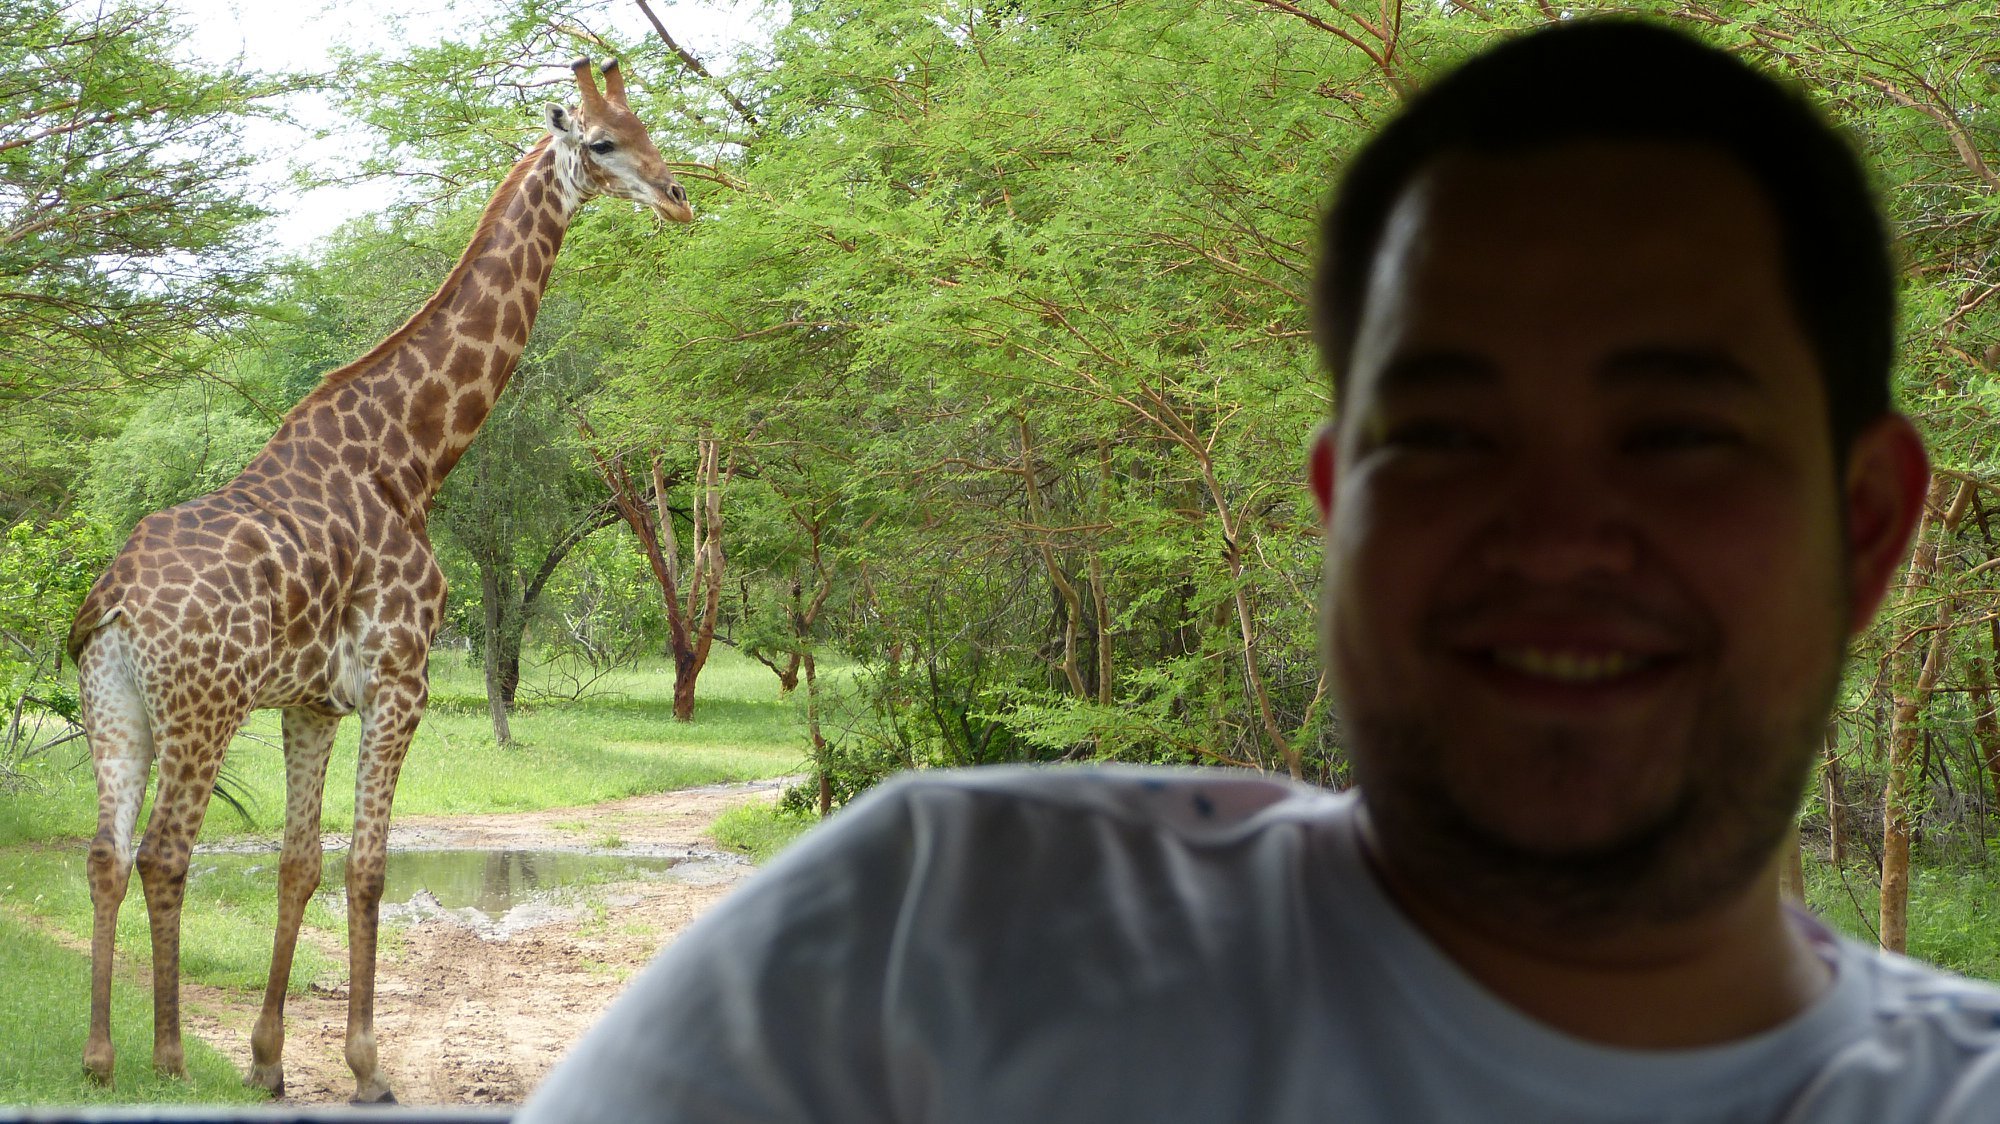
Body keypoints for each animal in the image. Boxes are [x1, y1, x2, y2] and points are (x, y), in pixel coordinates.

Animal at [67, 59, 689, 1103]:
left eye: (650, 129)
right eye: (604, 143)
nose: (679, 196)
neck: (410, 458)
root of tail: (111, 603)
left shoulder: (312, 703)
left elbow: (298, 864)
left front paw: (269, 1061)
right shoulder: (403, 682)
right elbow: (367, 869)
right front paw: (365, 1067)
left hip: (115, 705)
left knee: (107, 854)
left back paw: (101, 1057)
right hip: (201, 707)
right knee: (164, 852)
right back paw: (168, 1055)